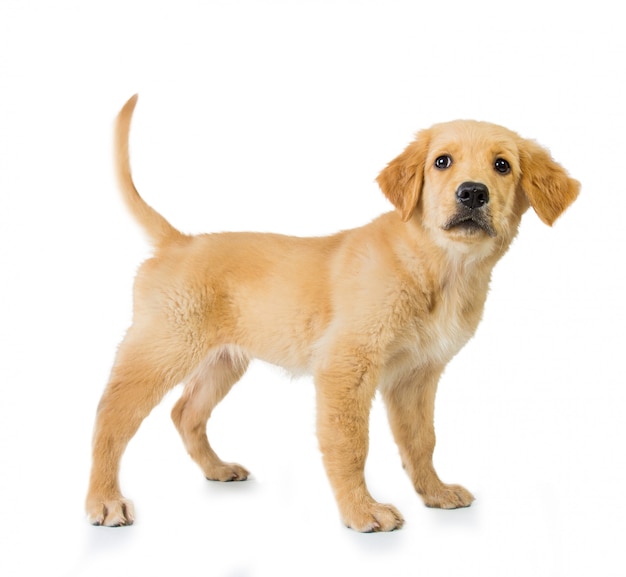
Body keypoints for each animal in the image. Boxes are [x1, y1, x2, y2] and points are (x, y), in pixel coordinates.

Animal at [85, 94, 576, 532]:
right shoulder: (346, 366)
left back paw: (217, 469)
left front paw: (434, 492)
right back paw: (104, 500)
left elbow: (421, 440)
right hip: (163, 347)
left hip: (224, 359)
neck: (439, 267)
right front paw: (362, 512)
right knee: (110, 416)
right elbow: (350, 444)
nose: (472, 193)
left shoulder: (417, 375)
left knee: (185, 411)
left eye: (502, 165)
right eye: (442, 161)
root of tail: (179, 242)